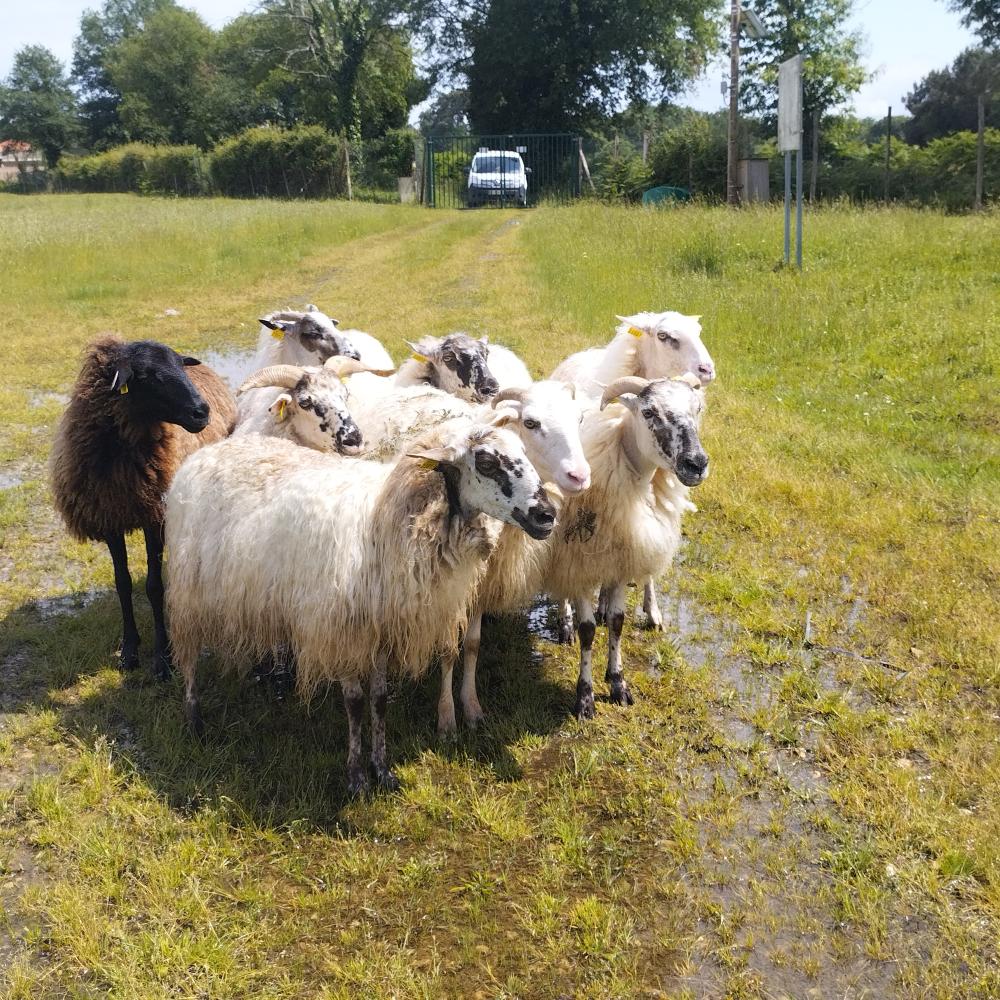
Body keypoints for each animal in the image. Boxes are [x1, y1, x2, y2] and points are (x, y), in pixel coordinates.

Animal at [50, 336, 238, 680]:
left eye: (179, 365)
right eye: (148, 377)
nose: (201, 411)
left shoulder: (154, 517)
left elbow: (154, 586)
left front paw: (163, 658)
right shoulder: (109, 517)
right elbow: (122, 583)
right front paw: (129, 649)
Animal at [540, 376, 712, 720]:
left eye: (697, 409)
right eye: (648, 411)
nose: (697, 464)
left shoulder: (621, 561)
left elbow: (618, 624)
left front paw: (618, 683)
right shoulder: (580, 561)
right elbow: (588, 629)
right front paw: (585, 698)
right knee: (564, 590)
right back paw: (565, 624)